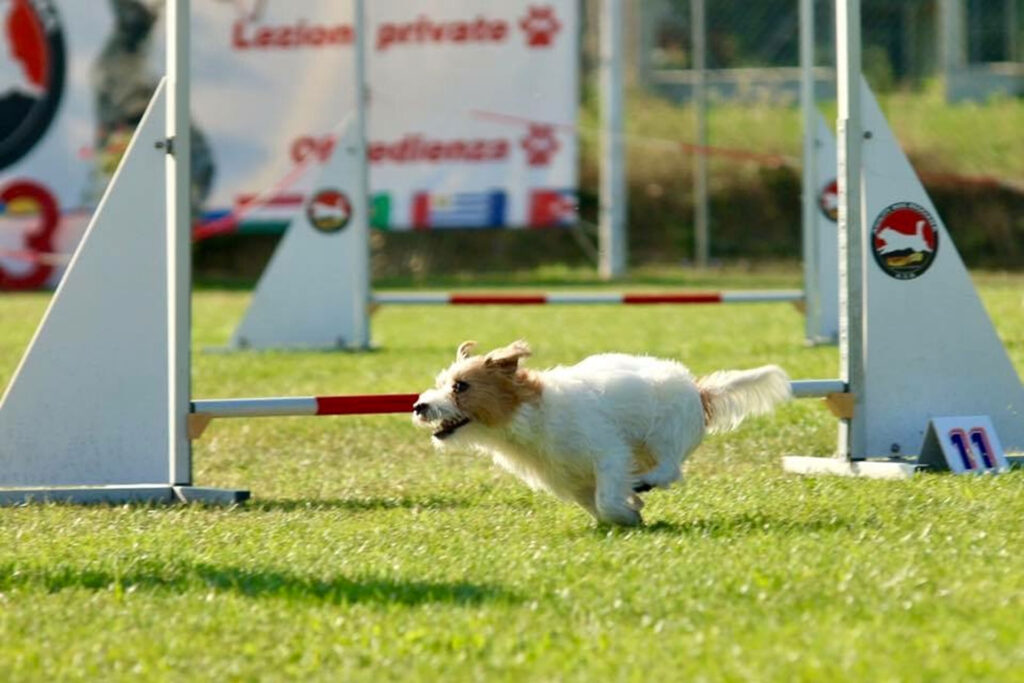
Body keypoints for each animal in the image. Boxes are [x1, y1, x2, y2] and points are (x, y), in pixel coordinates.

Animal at [415, 342, 790, 528]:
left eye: (460, 386)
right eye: (440, 384)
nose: (419, 405)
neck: (529, 416)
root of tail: (698, 390)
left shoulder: (608, 454)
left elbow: (607, 500)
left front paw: (627, 515)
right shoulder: (571, 481)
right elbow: (592, 502)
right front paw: (631, 508)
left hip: (663, 436)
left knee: (670, 469)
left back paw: (644, 482)